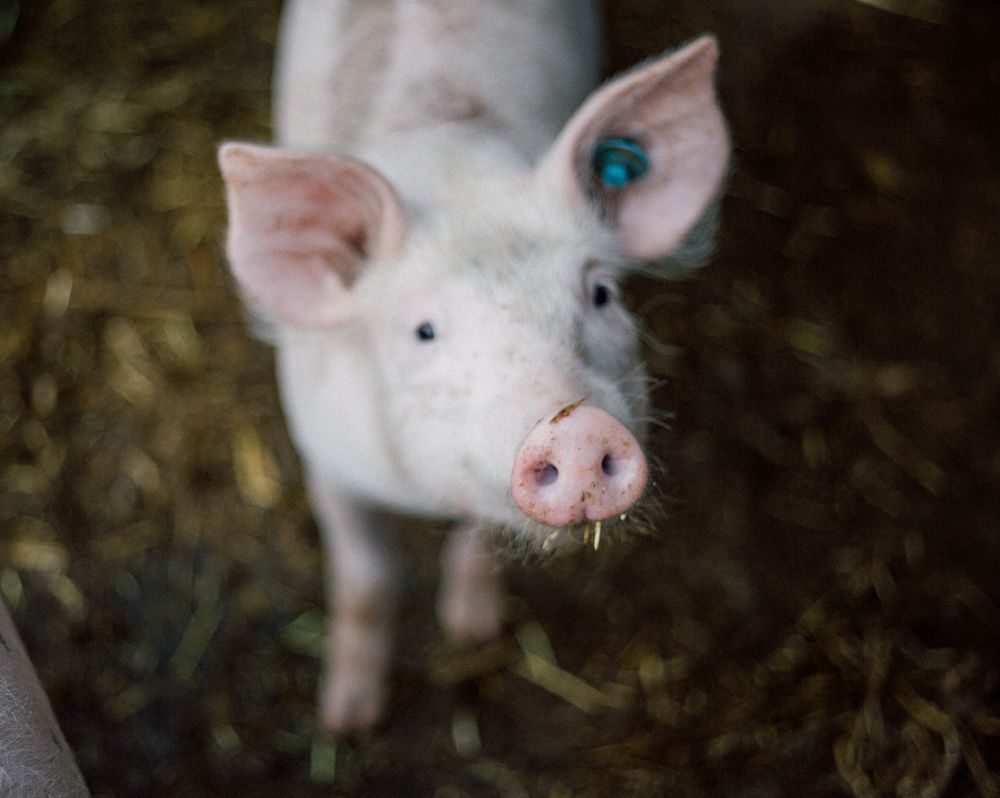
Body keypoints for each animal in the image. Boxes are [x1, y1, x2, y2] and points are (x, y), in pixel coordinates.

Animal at [219, 1, 732, 736]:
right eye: (424, 330)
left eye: (601, 294)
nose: (577, 429)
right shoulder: (324, 457)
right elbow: (365, 580)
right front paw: (348, 719)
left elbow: (480, 537)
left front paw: (471, 631)